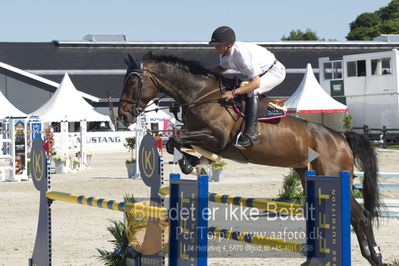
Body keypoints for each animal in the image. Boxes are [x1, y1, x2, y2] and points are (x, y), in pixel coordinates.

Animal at [119, 53, 388, 264]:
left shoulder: (217, 137)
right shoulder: (206, 138)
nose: (123, 115)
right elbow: (177, 142)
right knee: (355, 217)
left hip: (332, 175)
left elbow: (175, 140)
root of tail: (340, 137)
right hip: (308, 174)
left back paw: (374, 255)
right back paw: (367, 254)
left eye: (133, 81)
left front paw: (189, 162)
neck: (202, 95)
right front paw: (194, 163)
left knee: (361, 216)